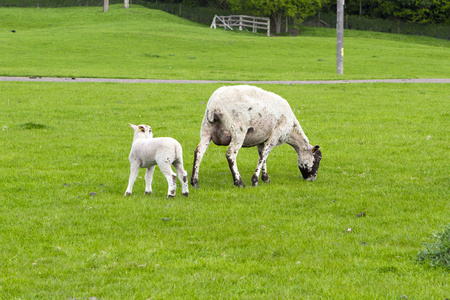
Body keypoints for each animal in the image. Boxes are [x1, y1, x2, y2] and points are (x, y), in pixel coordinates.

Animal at [189, 84, 320, 188]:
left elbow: (263, 156)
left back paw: (195, 182)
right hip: (238, 131)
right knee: (231, 154)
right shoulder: (275, 135)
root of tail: (214, 106)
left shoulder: (261, 139)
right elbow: (264, 155)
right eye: (318, 158)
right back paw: (239, 182)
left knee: (198, 151)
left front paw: (265, 178)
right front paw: (255, 180)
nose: (312, 178)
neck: (292, 129)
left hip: (206, 129)